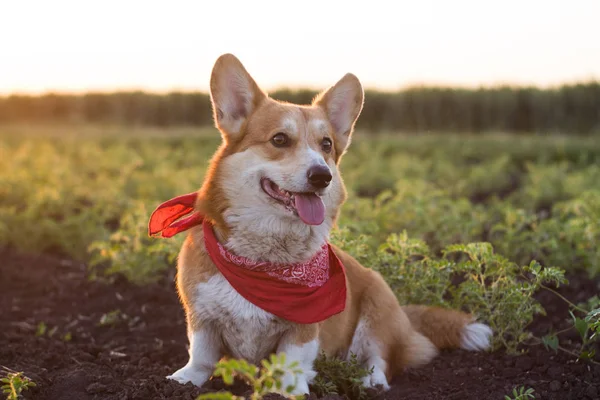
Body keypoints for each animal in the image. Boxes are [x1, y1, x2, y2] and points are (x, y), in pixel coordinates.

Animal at [149, 54, 492, 396]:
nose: (321, 176)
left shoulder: (304, 327)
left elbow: (291, 361)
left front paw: (291, 389)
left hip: (377, 309)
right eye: (279, 139)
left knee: (379, 359)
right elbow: (202, 354)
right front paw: (183, 381)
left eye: (326, 144)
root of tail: (407, 320)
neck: (262, 261)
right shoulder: (202, 317)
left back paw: (371, 382)